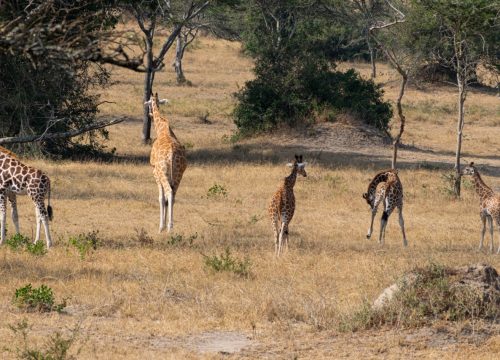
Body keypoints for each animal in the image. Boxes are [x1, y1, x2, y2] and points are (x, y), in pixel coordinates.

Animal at [145, 93, 188, 232]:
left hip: (163, 172)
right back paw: (171, 227)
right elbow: (166, 200)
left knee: (169, 192)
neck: (161, 128)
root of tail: (172, 153)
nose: (149, 114)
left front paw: (161, 227)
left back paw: (168, 227)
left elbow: (160, 198)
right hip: (179, 174)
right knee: (173, 195)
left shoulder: (155, 172)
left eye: (148, 103)